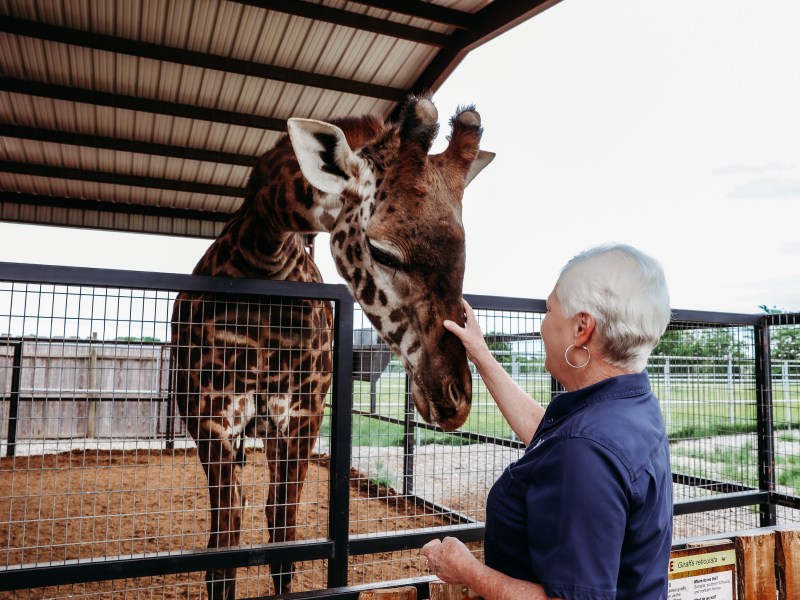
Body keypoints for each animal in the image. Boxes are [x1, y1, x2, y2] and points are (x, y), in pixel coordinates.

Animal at [170, 95, 493, 599]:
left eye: (462, 255)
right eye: (381, 251)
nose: (455, 399)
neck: (263, 257)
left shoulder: (302, 415)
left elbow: (283, 540)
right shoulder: (212, 418)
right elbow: (223, 553)